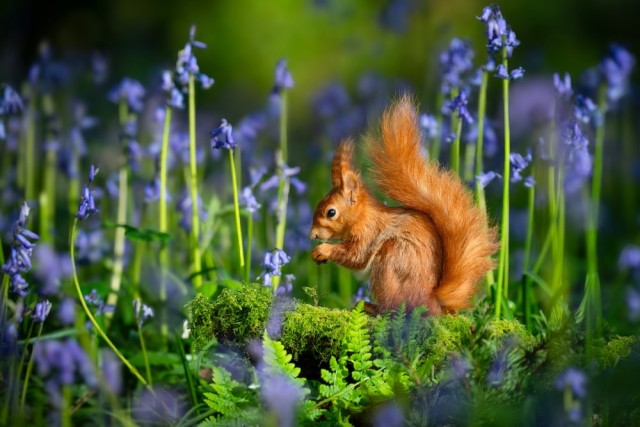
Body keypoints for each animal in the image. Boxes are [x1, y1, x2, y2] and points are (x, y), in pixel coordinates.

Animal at [310, 98, 500, 318]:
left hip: (390, 263)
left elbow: (356, 256)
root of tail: (432, 301)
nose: (312, 235)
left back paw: (372, 307)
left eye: (331, 212)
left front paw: (323, 250)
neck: (363, 216)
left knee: (394, 309)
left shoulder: (368, 232)